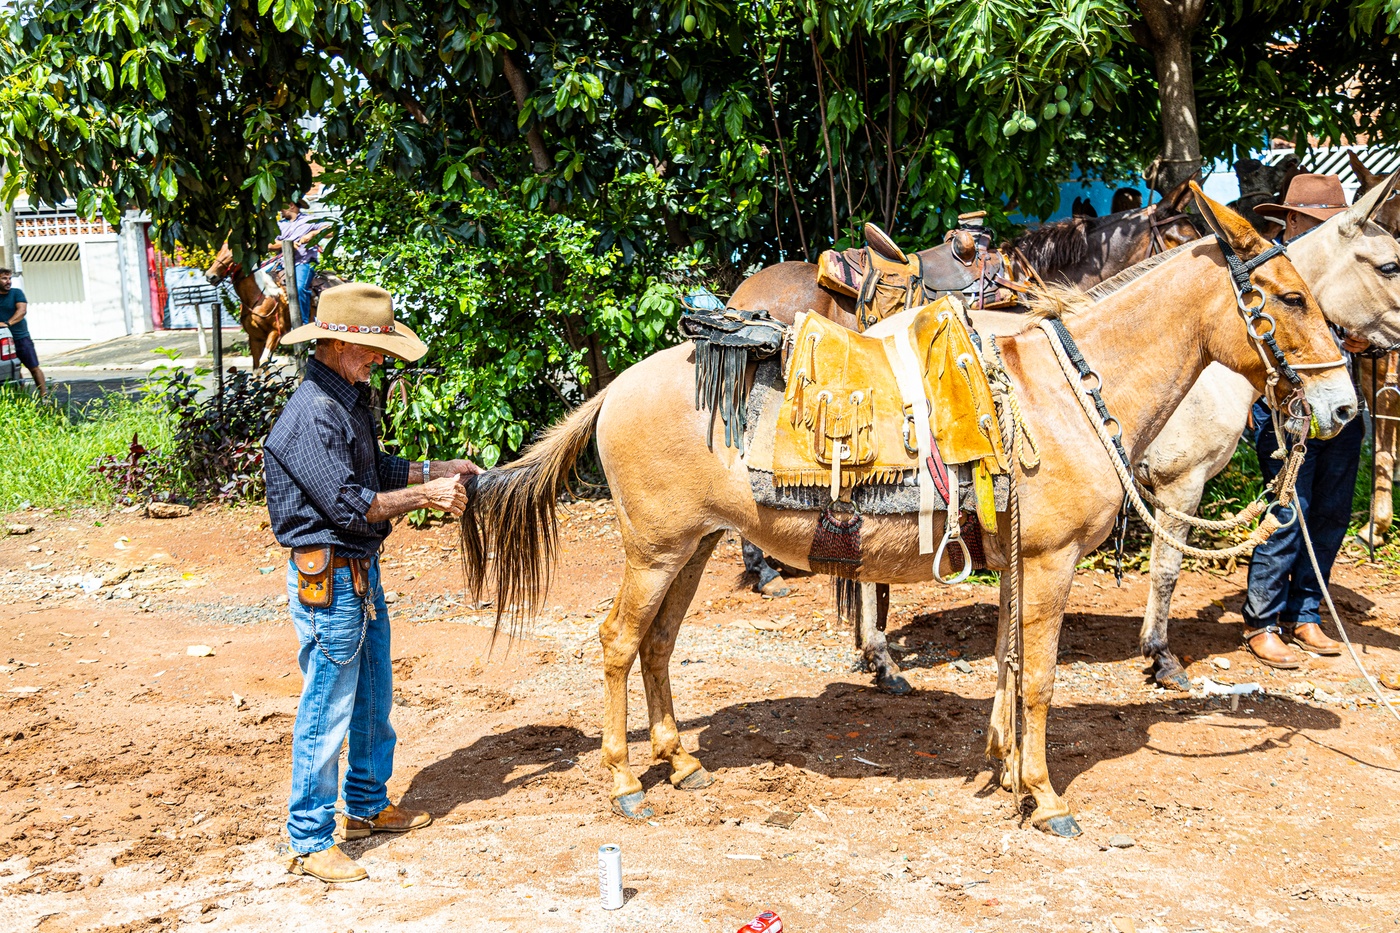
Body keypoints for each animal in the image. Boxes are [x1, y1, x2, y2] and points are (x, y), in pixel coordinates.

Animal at [460, 187, 1355, 835]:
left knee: (657, 644)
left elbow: (1008, 663)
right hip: (652, 547)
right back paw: (624, 782)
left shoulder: (1018, 560)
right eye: (1287, 296)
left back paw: (679, 763)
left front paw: (1003, 771)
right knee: (618, 642)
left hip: (694, 545)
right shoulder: (1052, 559)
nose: (1344, 406)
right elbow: (1039, 679)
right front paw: (1045, 796)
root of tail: (616, 386)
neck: (1063, 391)